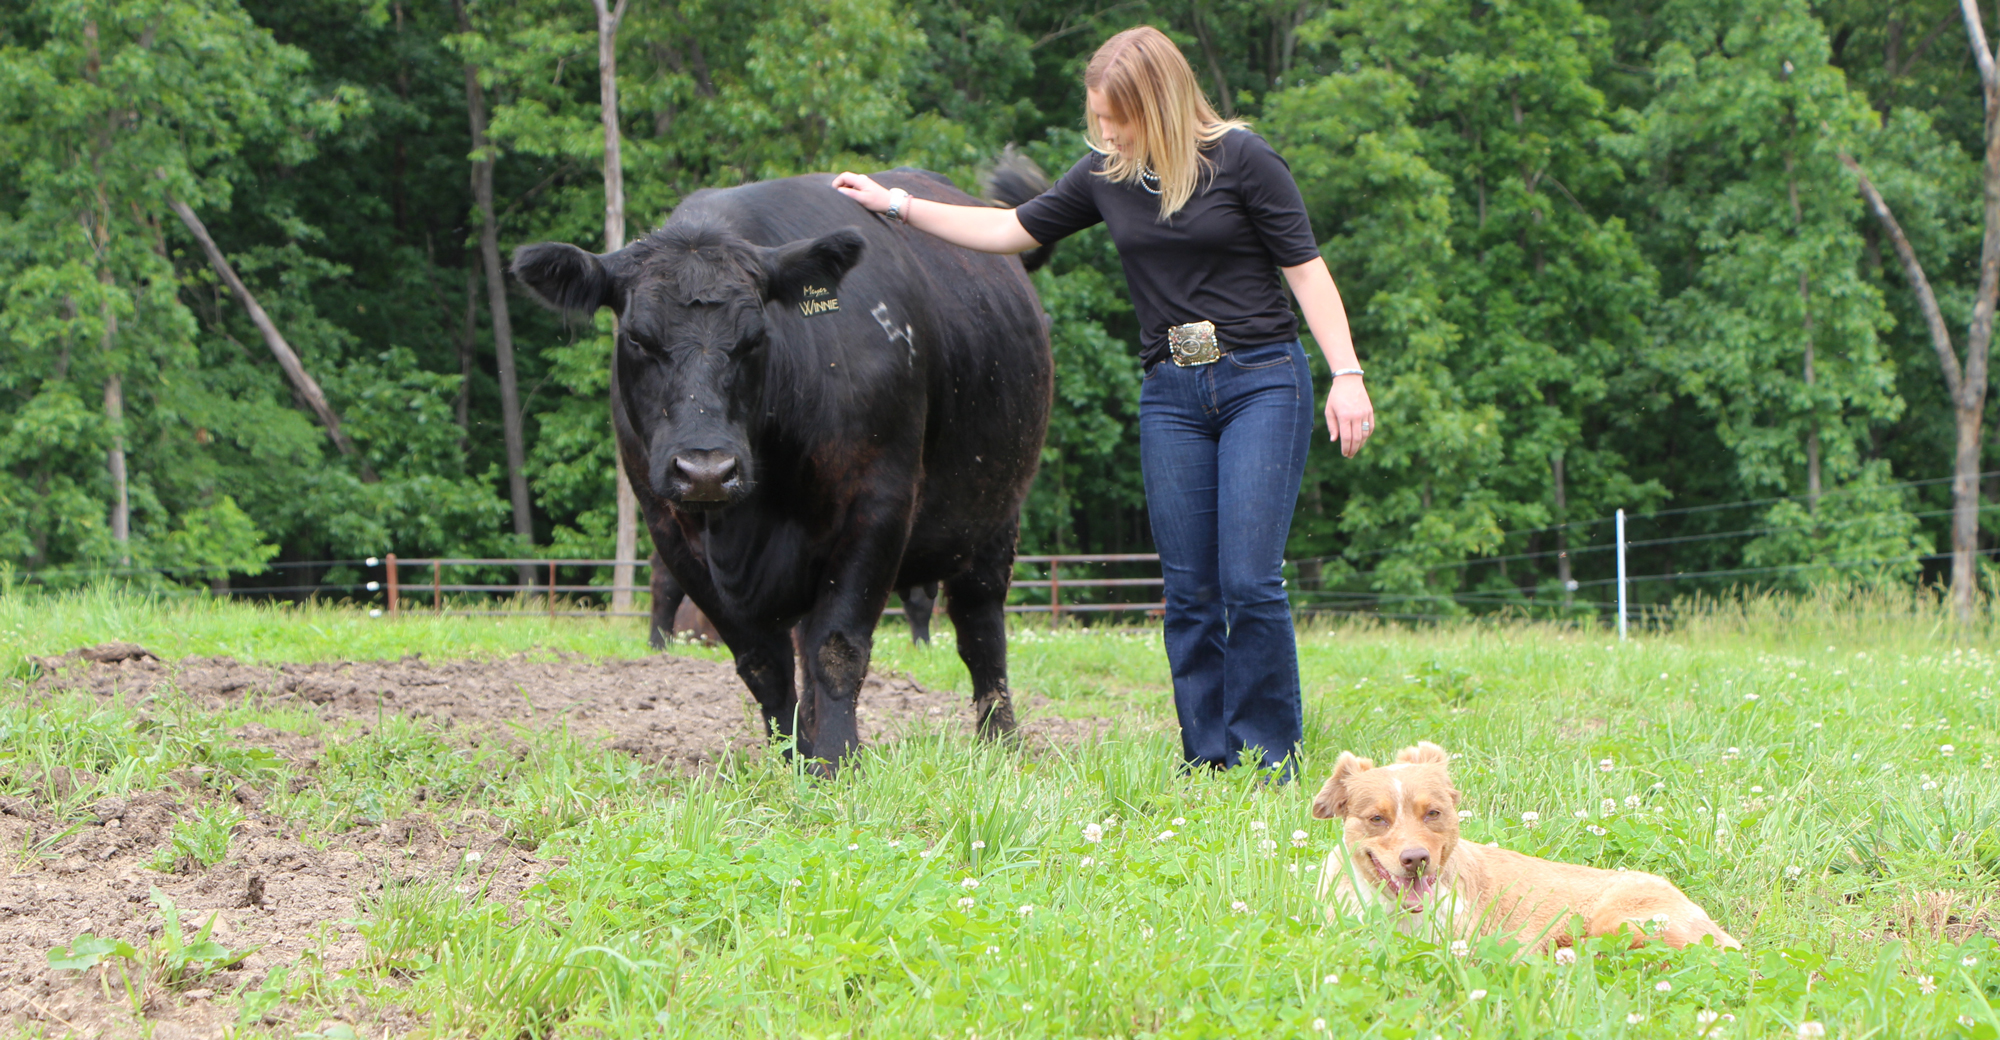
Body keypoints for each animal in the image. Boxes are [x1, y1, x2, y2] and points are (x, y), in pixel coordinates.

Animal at [508, 160, 1056, 764]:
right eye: (636, 338)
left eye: (755, 338)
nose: (706, 470)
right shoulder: (669, 526)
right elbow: (762, 661)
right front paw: (793, 760)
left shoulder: (878, 505)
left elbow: (837, 646)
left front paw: (837, 760)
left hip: (995, 512)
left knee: (979, 628)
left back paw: (999, 740)